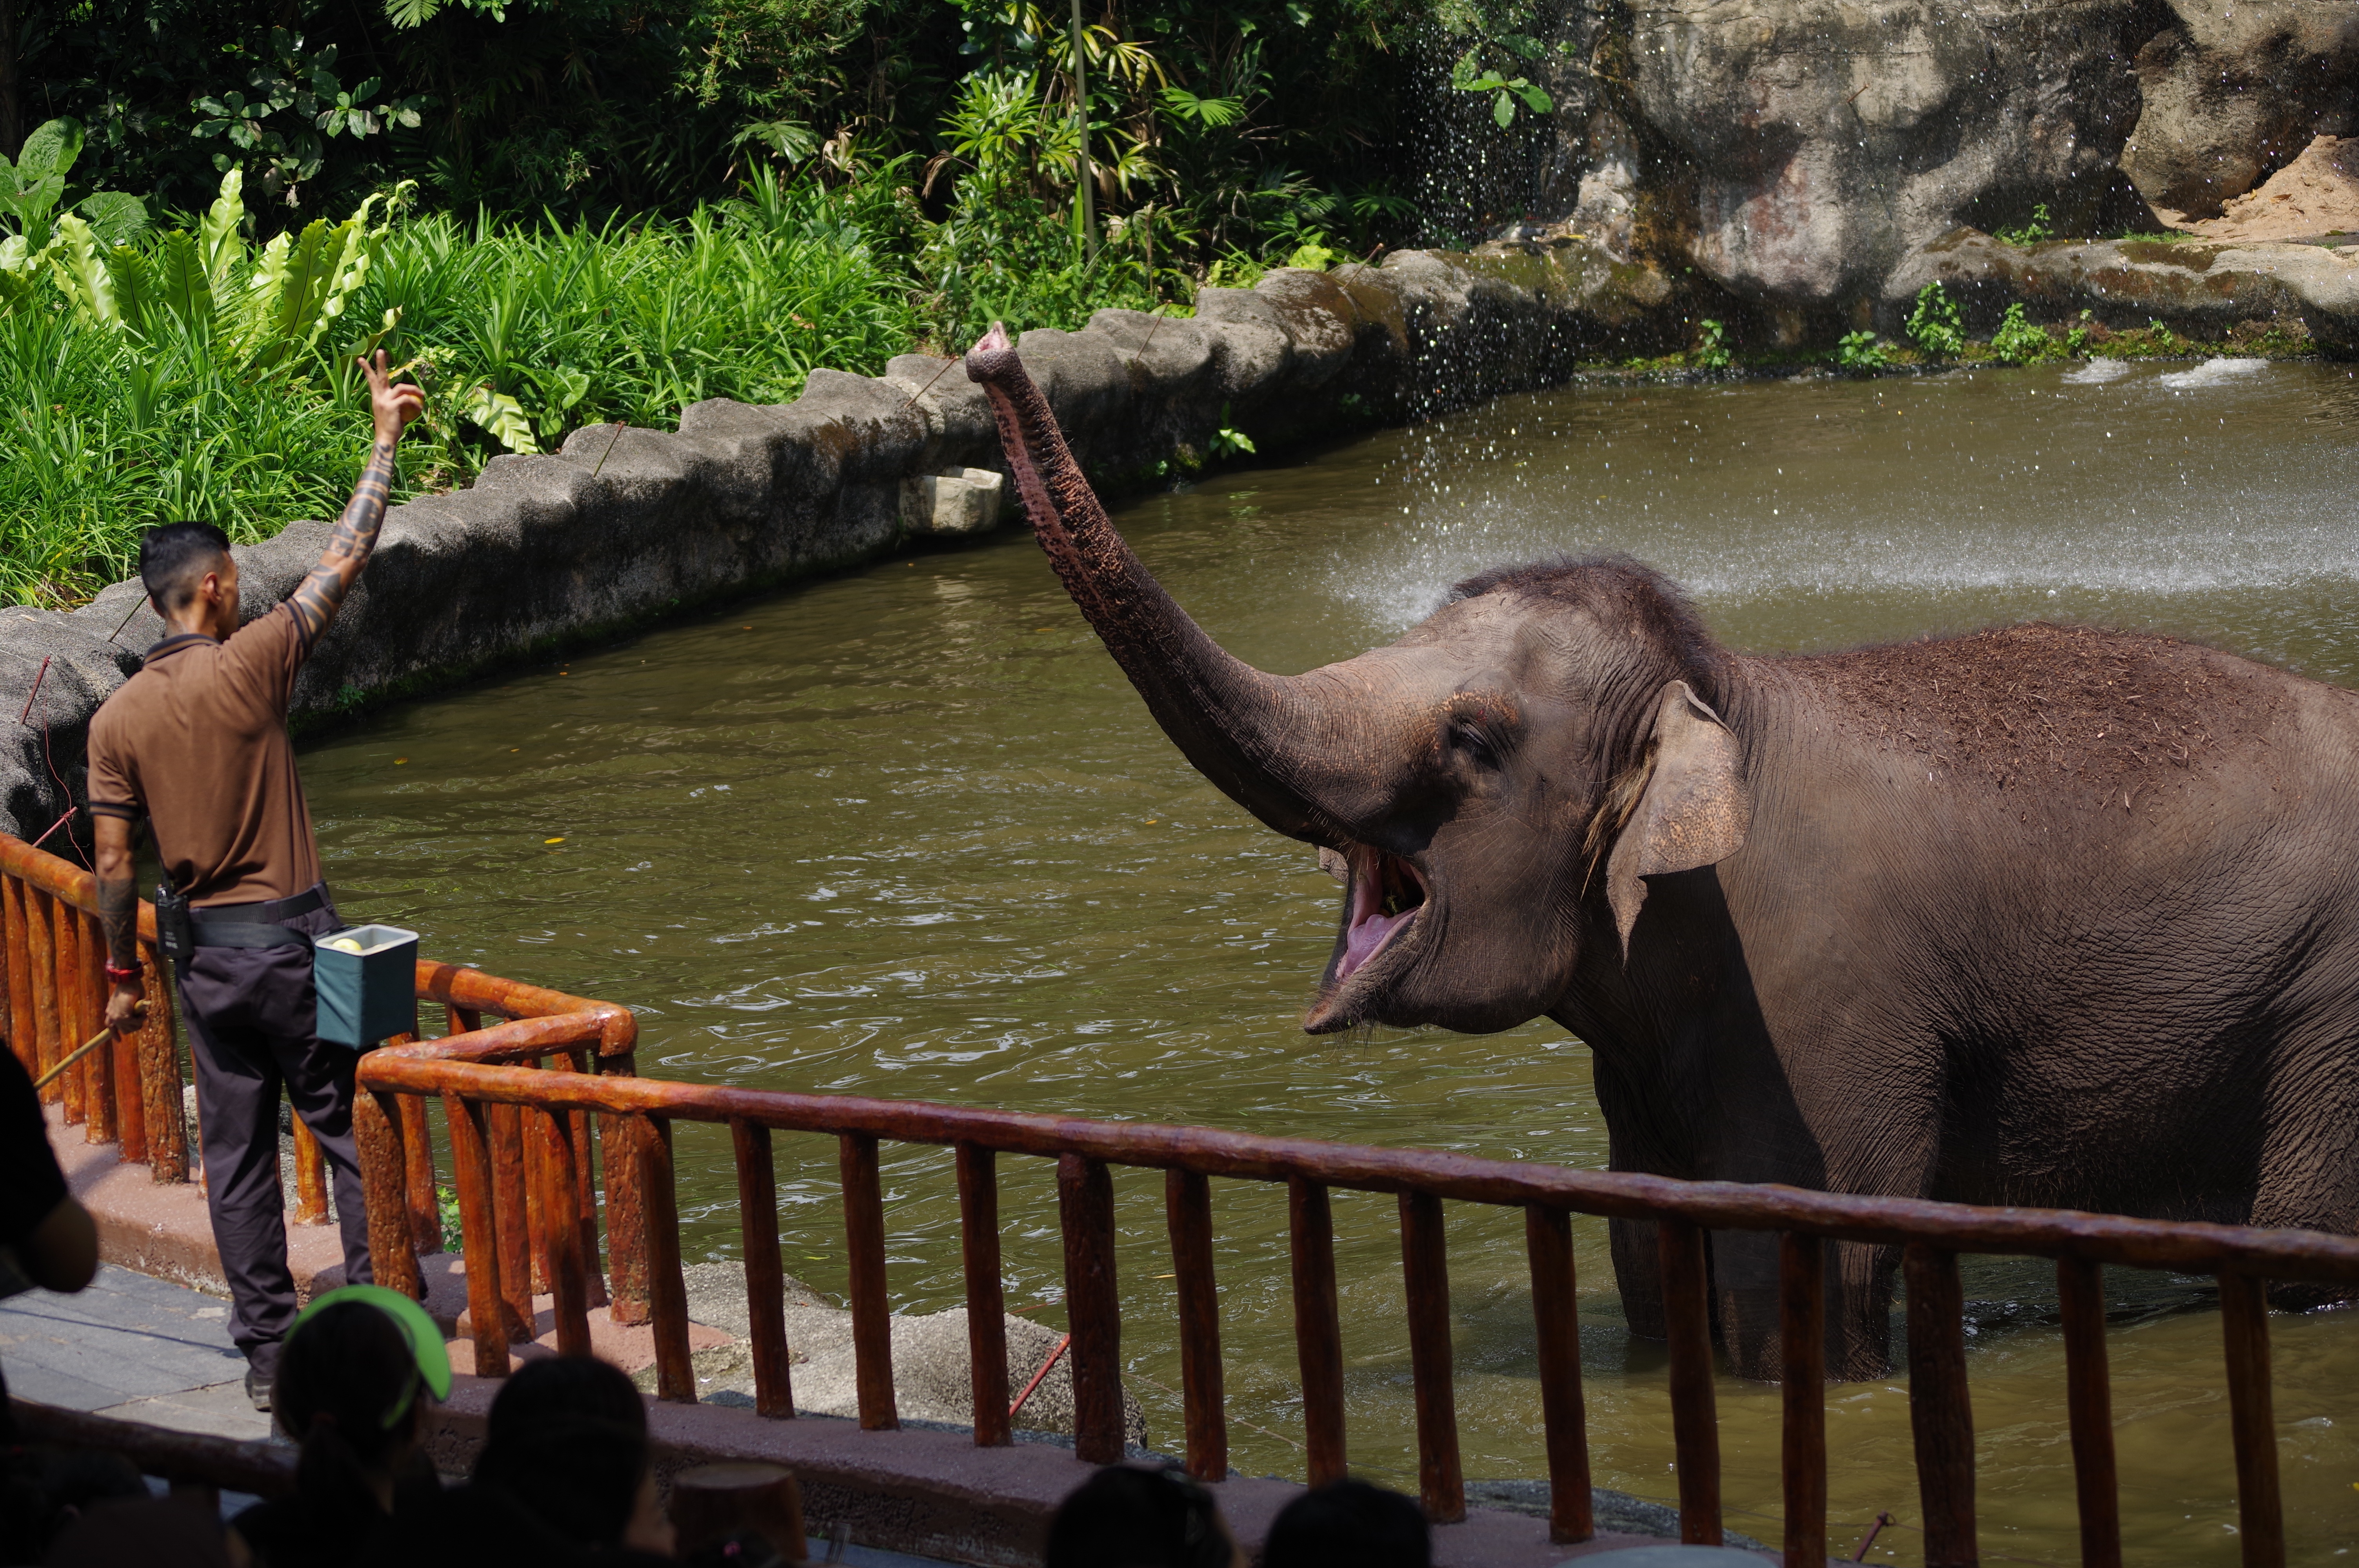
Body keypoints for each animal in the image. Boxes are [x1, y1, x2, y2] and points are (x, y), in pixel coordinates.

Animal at [953, 323, 2359, 1377]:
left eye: (1473, 737)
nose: (988, 348)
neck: (1722, 695)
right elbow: (1644, 1250)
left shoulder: (1827, 1005)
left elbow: (1803, 1261)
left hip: (2330, 1011)